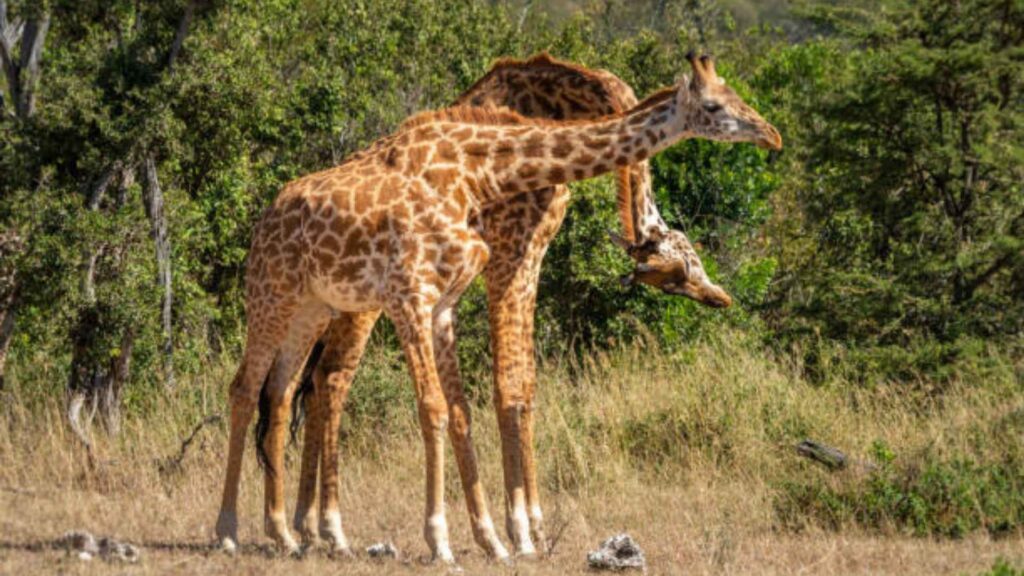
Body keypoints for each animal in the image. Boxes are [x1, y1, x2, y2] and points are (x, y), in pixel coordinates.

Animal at [214, 52, 782, 562]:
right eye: (713, 105)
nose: (771, 134)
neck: (482, 167)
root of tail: (266, 215)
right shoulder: (429, 288)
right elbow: (465, 399)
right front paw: (491, 535)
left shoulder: (448, 300)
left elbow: (471, 405)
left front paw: (496, 536)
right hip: (277, 297)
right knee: (267, 386)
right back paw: (246, 531)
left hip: (312, 307)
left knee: (285, 391)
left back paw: (293, 532)